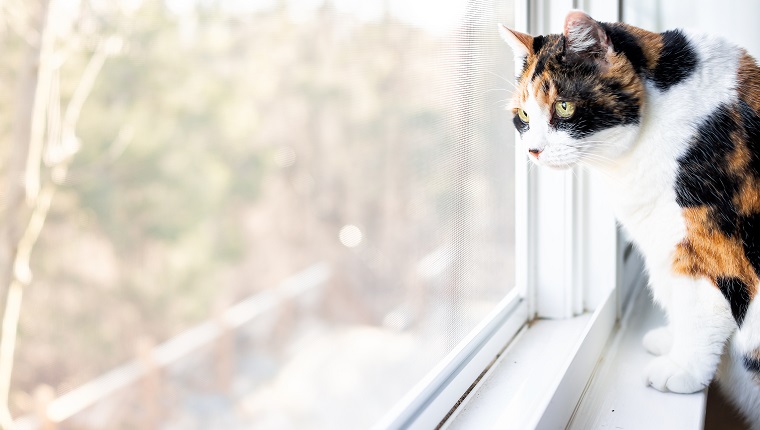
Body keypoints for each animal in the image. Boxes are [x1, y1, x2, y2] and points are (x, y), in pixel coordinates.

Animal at [502, 10, 760, 426]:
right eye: (524, 114)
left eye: (563, 107)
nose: (533, 151)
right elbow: (679, 297)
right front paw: (671, 342)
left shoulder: (707, 239)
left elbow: (700, 304)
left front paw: (683, 369)